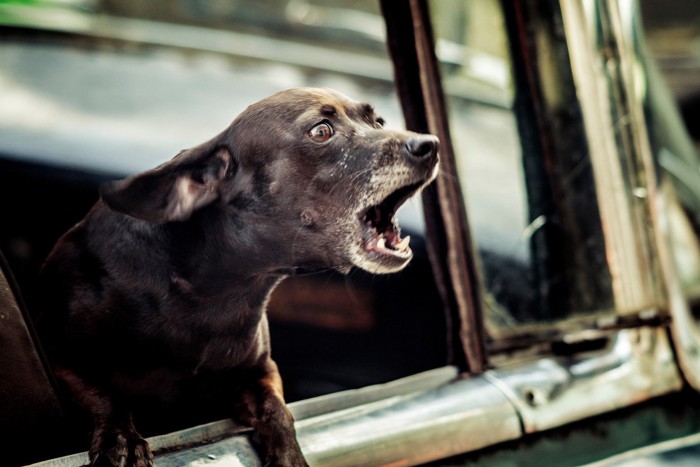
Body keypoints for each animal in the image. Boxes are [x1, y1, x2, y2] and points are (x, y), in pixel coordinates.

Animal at [34, 88, 438, 467]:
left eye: (378, 122)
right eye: (321, 131)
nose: (430, 145)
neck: (212, 293)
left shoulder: (260, 372)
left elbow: (278, 411)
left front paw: (290, 456)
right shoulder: (63, 359)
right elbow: (105, 395)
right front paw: (121, 440)